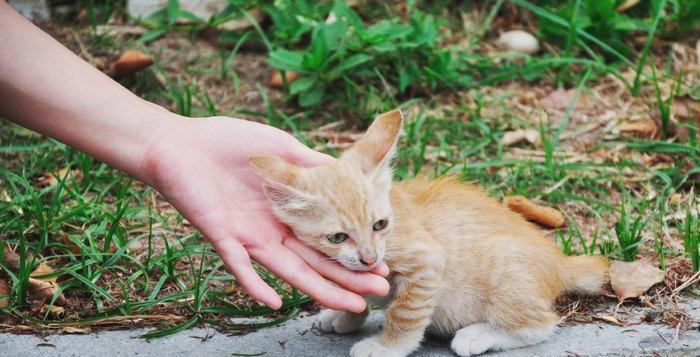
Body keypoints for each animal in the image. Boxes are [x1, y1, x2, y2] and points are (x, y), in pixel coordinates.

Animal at [250, 110, 608, 354]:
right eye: (338, 237)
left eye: (380, 225)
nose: (369, 258)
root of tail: (561, 261)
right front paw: (344, 314)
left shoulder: (426, 263)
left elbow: (405, 314)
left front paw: (387, 346)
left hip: (508, 275)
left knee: (541, 325)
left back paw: (478, 335)